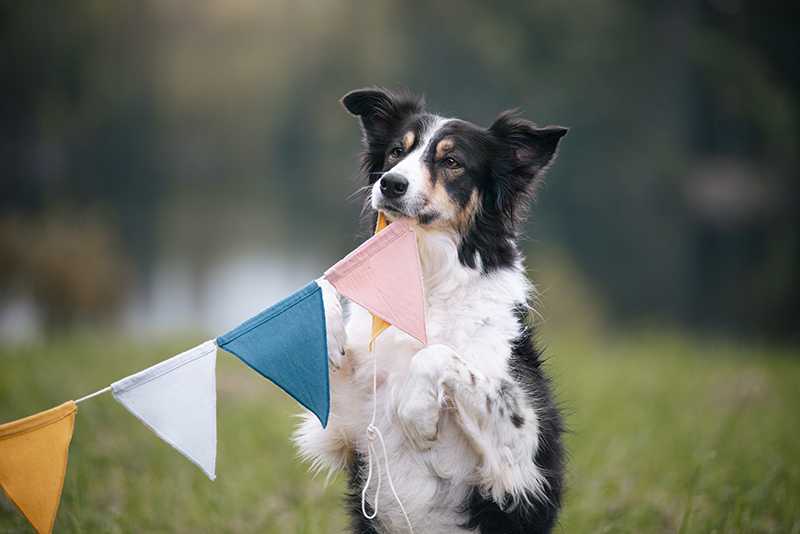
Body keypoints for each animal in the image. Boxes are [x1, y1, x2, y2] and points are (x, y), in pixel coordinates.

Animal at [296, 89, 568, 534]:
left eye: (452, 161)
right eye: (396, 151)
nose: (390, 183)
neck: (425, 278)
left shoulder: (522, 454)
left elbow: (438, 354)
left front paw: (419, 418)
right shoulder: (343, 427)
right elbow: (323, 286)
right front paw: (330, 337)